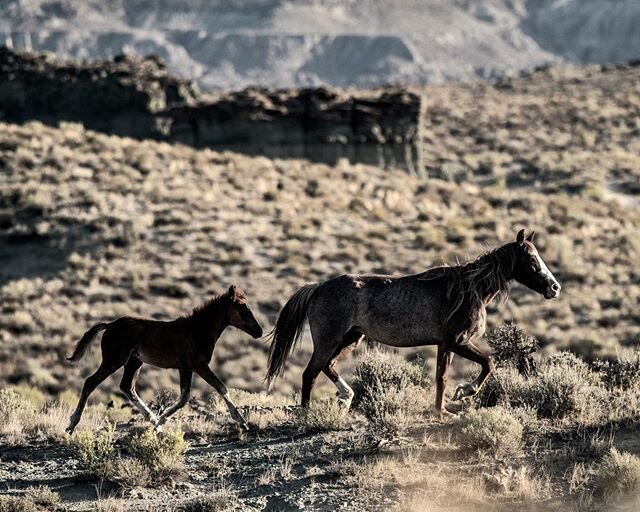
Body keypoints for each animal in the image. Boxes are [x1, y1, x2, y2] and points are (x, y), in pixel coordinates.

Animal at [65, 286, 262, 434]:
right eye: (242, 309)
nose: (259, 331)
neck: (198, 330)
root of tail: (110, 325)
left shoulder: (185, 368)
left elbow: (184, 398)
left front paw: (160, 422)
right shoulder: (199, 365)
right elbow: (221, 387)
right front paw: (242, 421)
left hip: (134, 362)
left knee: (127, 387)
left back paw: (153, 420)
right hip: (114, 360)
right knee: (91, 382)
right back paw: (72, 424)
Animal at [264, 230, 560, 414]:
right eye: (531, 258)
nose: (554, 288)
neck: (467, 289)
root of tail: (318, 287)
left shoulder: (445, 345)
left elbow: (443, 377)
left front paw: (444, 408)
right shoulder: (457, 342)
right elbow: (487, 364)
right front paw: (462, 394)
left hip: (350, 338)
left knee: (327, 366)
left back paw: (346, 399)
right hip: (329, 339)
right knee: (310, 372)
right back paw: (307, 414)